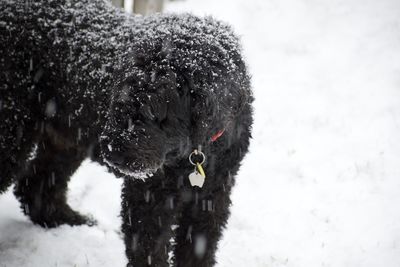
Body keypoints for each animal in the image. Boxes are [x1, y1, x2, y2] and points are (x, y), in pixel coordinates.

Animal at [0, 0, 253, 266]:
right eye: (119, 100)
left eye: (154, 110)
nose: (112, 152)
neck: (195, 153)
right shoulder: (149, 197)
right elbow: (149, 252)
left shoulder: (212, 195)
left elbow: (198, 250)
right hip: (13, 131)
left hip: (68, 136)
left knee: (36, 184)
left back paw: (66, 219)